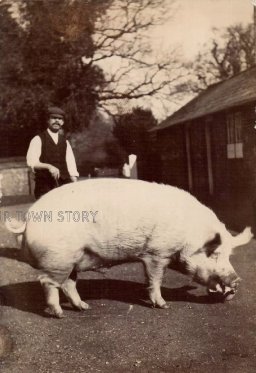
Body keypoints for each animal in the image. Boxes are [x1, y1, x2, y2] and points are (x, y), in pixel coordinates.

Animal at [5, 178, 253, 316]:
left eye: (229, 255)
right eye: (214, 254)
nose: (237, 279)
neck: (188, 236)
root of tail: (28, 219)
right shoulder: (156, 253)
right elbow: (155, 279)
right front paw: (163, 306)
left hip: (72, 261)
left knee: (68, 284)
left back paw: (84, 308)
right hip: (58, 259)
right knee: (46, 282)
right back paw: (58, 314)